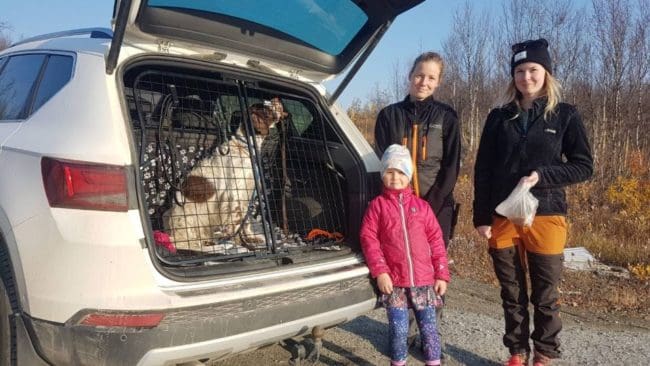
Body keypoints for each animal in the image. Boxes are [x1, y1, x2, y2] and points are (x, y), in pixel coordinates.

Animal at [162, 98, 284, 252]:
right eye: (265, 107)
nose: (277, 99)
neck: (244, 148)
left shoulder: (246, 194)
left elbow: (245, 222)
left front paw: (250, 239)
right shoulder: (234, 194)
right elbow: (236, 221)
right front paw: (239, 240)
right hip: (187, 216)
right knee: (186, 242)